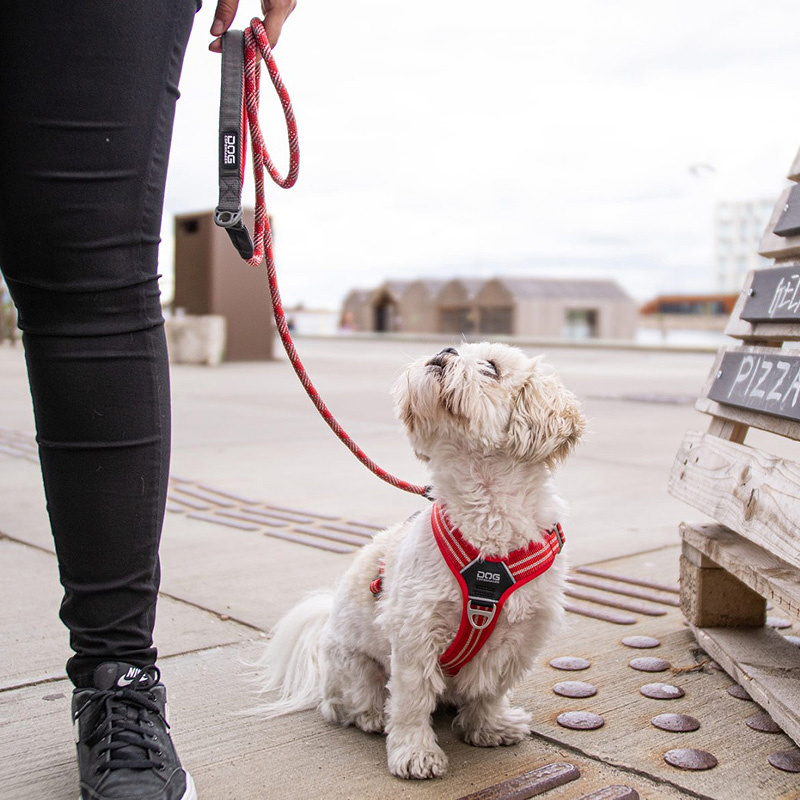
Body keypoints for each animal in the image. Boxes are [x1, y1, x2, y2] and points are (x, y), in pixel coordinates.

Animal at [258, 340, 588, 780]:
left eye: (490, 367)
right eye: (459, 349)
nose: (445, 350)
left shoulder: (520, 636)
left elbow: (490, 688)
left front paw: (488, 726)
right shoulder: (416, 632)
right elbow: (412, 700)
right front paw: (415, 752)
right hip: (353, 665)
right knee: (344, 702)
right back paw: (370, 715)